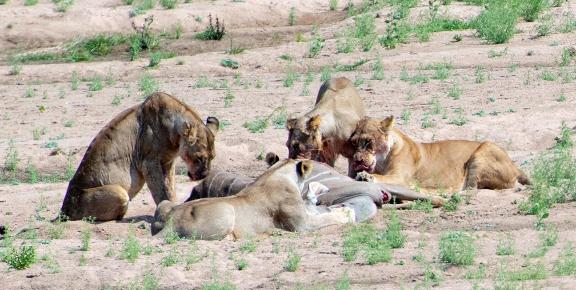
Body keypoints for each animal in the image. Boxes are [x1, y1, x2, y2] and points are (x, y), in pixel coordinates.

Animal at [60, 92, 218, 221]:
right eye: (199, 158)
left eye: (212, 157)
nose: (204, 175)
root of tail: (64, 210)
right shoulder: (149, 163)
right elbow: (160, 192)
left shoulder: (168, 162)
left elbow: (170, 189)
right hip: (120, 193)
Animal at [151, 159, 356, 240]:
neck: (277, 173)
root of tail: (172, 222)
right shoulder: (302, 225)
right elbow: (327, 218)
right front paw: (348, 212)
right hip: (227, 209)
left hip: (165, 204)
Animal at [348, 115, 528, 195]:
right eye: (354, 143)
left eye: (368, 142)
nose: (357, 160)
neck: (381, 161)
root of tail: (515, 166)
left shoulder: (400, 178)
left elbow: (381, 177)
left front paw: (365, 176)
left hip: (484, 149)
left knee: (470, 190)